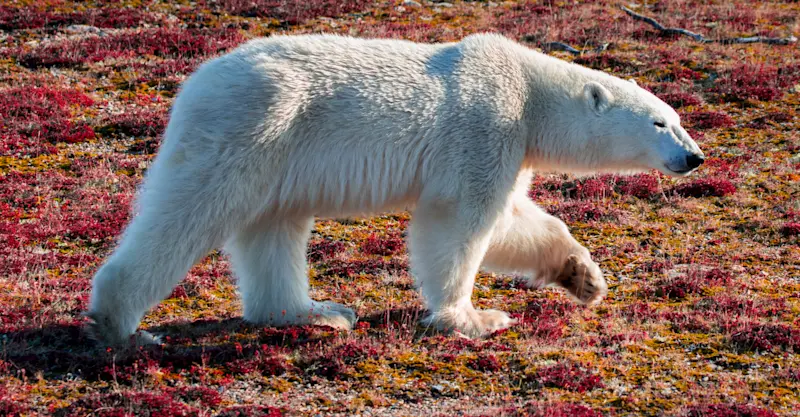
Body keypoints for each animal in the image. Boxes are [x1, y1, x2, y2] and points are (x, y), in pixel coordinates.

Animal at [85, 33, 703, 345]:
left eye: (677, 119)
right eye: (658, 123)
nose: (694, 157)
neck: (529, 91)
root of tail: (195, 82)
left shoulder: (511, 143)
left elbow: (512, 221)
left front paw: (584, 277)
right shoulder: (487, 126)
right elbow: (460, 220)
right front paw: (472, 318)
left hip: (279, 156)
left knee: (274, 229)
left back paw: (314, 312)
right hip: (254, 126)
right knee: (190, 210)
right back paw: (122, 324)